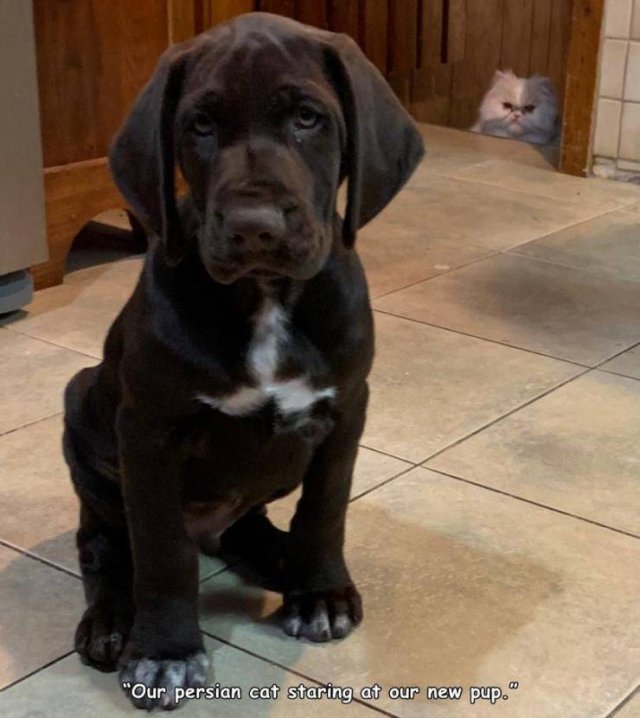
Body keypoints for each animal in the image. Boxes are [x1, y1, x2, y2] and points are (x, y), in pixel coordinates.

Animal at [63, 12, 424, 716]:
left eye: (308, 118)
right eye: (200, 125)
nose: (255, 226)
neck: (265, 297)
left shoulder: (347, 407)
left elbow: (326, 507)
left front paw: (320, 592)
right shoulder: (148, 430)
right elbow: (161, 550)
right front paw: (166, 650)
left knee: (251, 525)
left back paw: (284, 560)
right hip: (82, 409)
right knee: (104, 542)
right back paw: (113, 620)